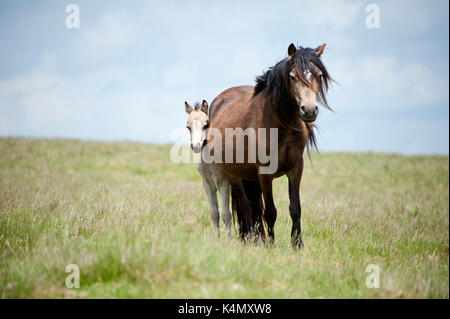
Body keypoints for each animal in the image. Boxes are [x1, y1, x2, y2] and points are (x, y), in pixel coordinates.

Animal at [206, 43, 332, 249]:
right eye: (292, 76)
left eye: (319, 75)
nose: (309, 110)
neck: (282, 125)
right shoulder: (265, 173)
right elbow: (271, 211)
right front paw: (272, 245)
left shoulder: (296, 169)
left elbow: (295, 208)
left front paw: (298, 244)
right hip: (235, 175)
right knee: (246, 206)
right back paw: (252, 239)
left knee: (254, 205)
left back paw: (257, 238)